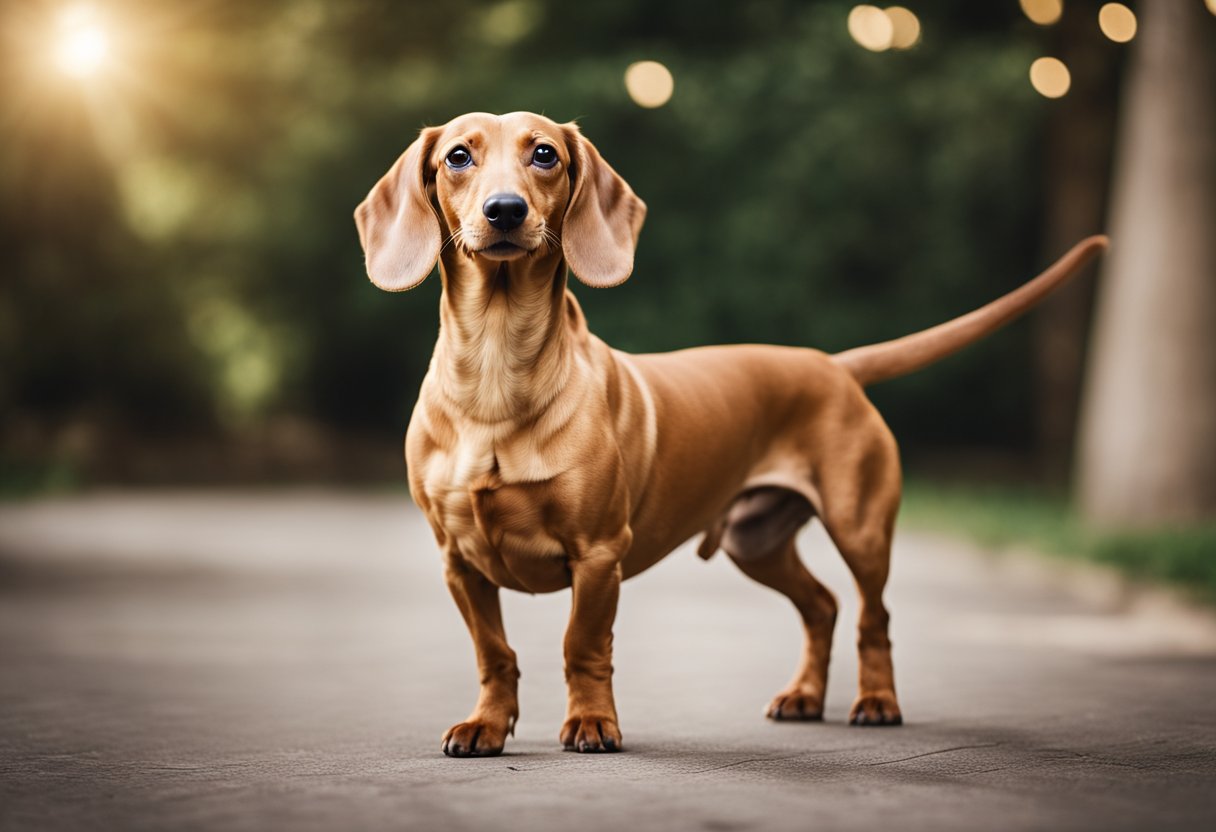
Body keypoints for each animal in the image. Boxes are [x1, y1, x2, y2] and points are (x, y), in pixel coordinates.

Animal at [355, 111, 1113, 759]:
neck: (495, 379)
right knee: (822, 606)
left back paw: (876, 702)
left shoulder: (598, 555)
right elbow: (494, 655)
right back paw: (805, 695)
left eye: (545, 154)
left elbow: (583, 647)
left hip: (861, 529)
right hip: (758, 540)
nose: (505, 211)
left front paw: (593, 723)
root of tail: (832, 365)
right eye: (458, 156)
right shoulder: (459, 562)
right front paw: (486, 725)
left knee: (873, 617)